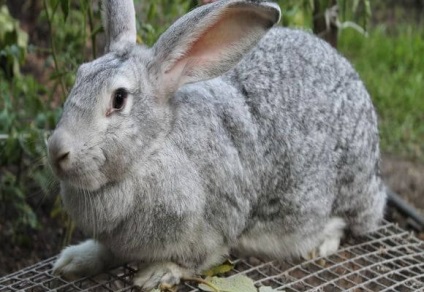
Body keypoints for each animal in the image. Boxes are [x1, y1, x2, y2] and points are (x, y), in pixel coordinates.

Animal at [48, 0, 386, 288]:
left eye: (119, 99)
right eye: (80, 75)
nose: (56, 151)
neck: (153, 149)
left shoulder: (215, 228)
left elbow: (195, 260)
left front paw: (156, 274)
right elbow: (107, 252)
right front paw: (74, 261)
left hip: (349, 187)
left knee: (348, 222)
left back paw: (320, 244)